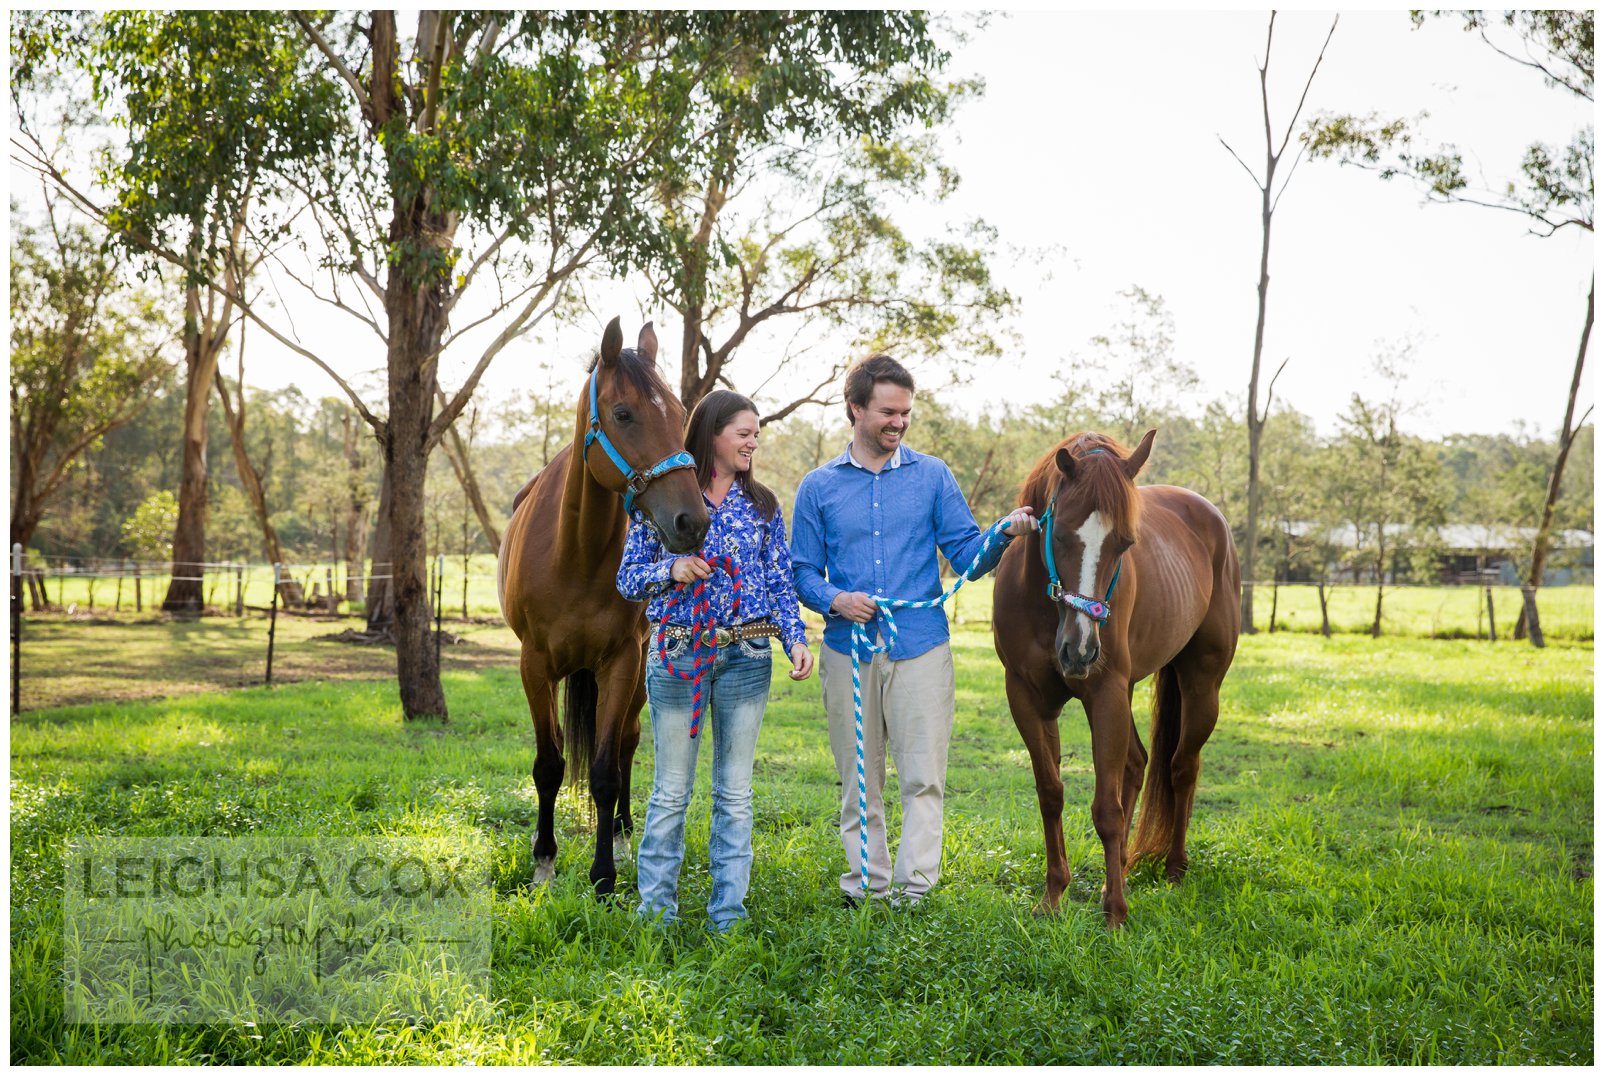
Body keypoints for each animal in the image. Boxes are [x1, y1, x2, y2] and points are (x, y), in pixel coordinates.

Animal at [494, 320, 708, 898]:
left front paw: (604, 876)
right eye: (624, 414)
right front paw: (544, 861)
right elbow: (549, 764)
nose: (693, 521)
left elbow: (607, 769)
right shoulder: (534, 665)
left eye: (679, 412)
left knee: (628, 746)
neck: (576, 553)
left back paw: (623, 834)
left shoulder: (620, 662)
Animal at [988, 432, 1238, 930]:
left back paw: (1173, 869)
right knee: (1138, 764)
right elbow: (1051, 794)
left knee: (1182, 767)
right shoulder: (1027, 698)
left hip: (1200, 686)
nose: (1081, 650)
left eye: (1126, 543)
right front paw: (1053, 896)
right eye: (1059, 533)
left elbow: (1107, 808)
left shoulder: (1104, 695)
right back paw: (1116, 872)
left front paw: (1117, 914)